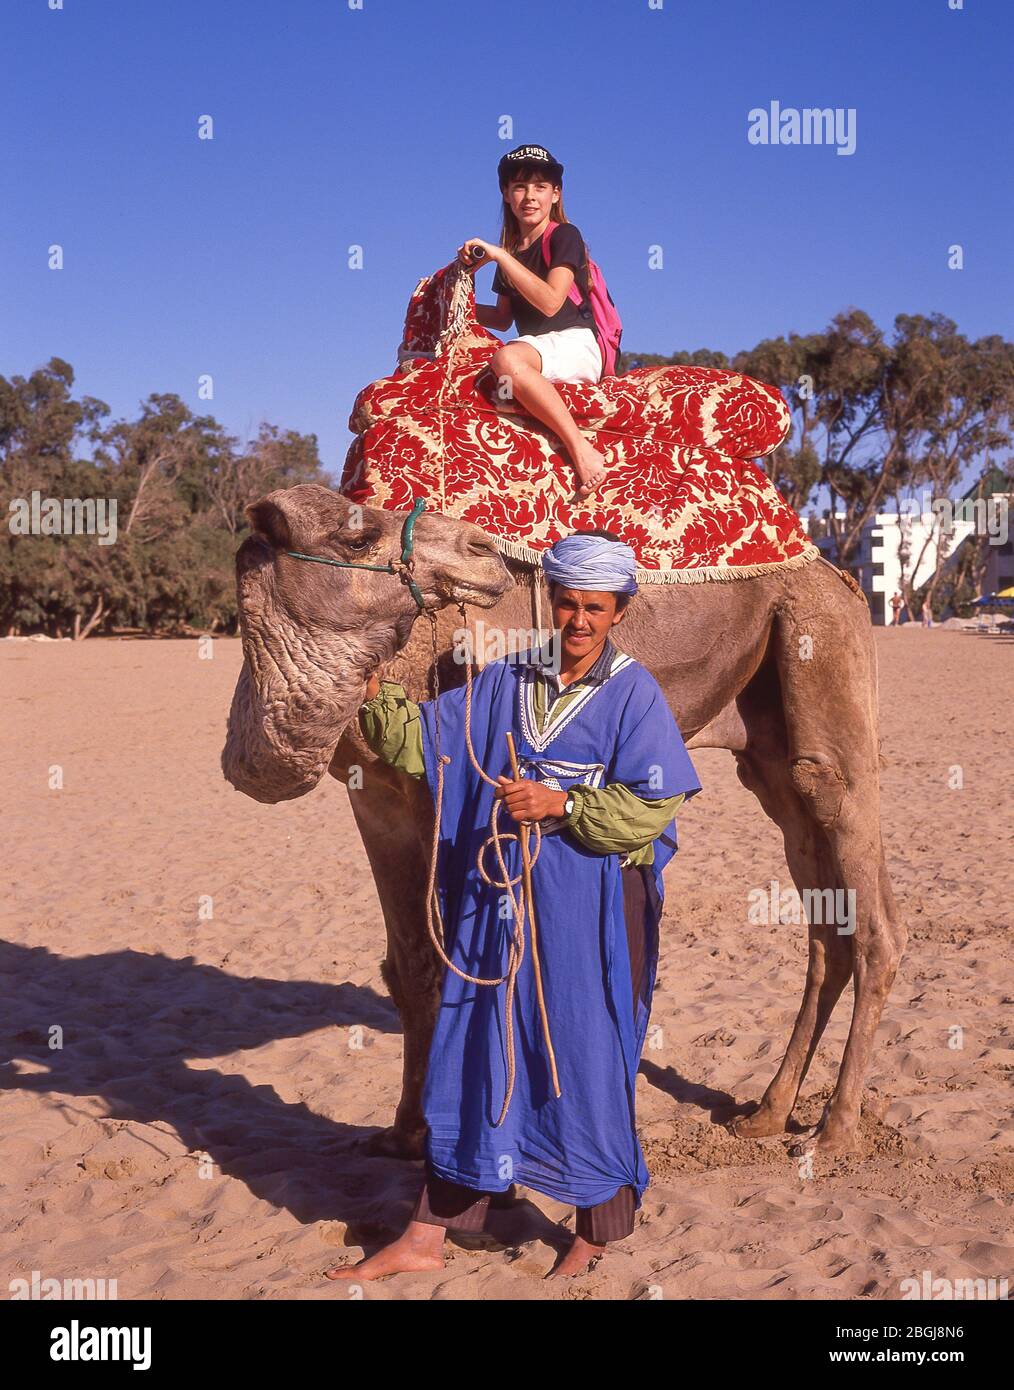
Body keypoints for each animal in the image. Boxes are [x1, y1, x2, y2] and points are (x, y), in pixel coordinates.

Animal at [219, 478, 901, 1162]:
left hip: (822, 645)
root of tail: (837, 573)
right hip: (768, 751)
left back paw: (834, 1129)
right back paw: (767, 1113)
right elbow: (409, 964)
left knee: (854, 864)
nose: (479, 549)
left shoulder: (438, 788)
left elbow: (458, 949)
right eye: (357, 537)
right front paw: (403, 1133)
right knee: (824, 921)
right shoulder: (375, 798)